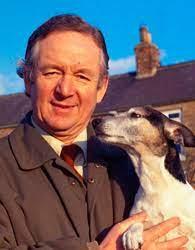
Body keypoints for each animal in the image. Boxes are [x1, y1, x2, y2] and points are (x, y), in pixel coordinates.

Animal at [92, 106, 195, 250]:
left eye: (136, 115)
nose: (94, 121)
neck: (155, 186)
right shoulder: (140, 216)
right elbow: (135, 222)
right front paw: (132, 234)